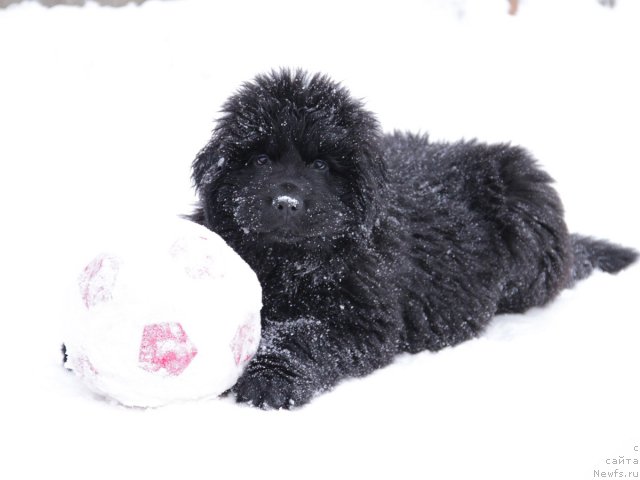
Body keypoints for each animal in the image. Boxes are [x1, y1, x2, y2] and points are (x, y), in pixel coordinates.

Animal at [189, 69, 636, 408]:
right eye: (261, 159)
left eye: (321, 164)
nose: (286, 202)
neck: (291, 263)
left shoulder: (362, 318)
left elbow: (303, 334)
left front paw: (270, 377)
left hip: (525, 198)